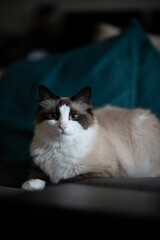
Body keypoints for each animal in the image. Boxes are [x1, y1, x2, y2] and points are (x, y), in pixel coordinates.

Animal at [21, 85, 160, 190]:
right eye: (54, 116)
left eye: (73, 116)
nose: (62, 126)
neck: (59, 148)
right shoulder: (37, 166)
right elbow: (35, 176)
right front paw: (30, 185)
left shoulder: (104, 172)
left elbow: (66, 179)